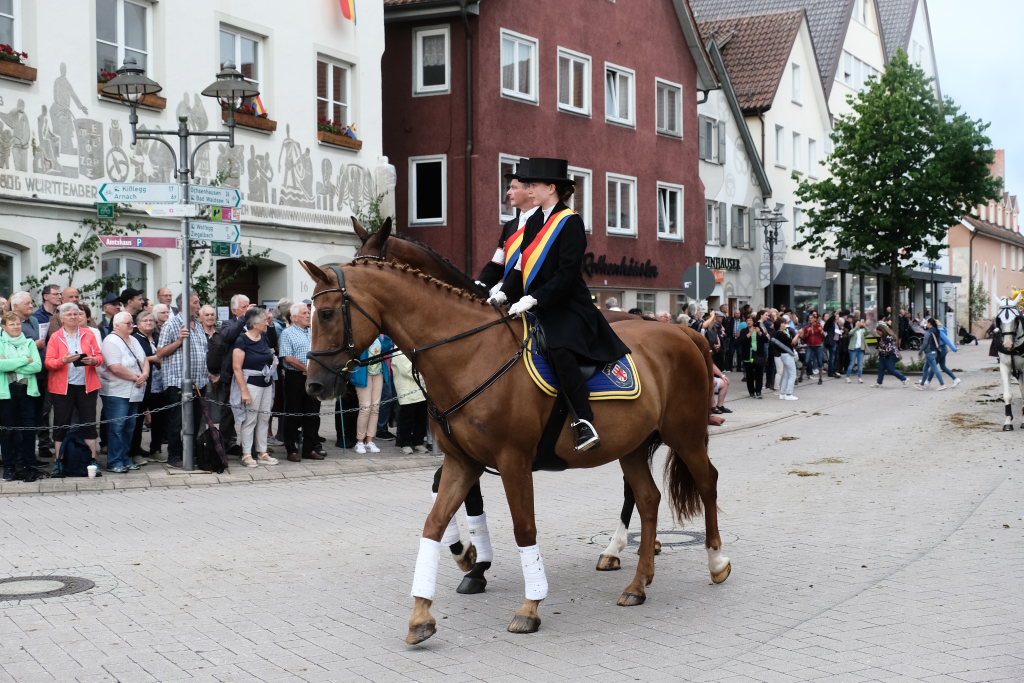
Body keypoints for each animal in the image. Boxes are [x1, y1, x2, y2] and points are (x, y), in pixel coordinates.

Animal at [301, 259, 730, 645]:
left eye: (326, 313)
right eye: (311, 314)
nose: (315, 385)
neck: (472, 354)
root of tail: (684, 333)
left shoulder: (513, 462)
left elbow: (524, 529)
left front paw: (529, 606)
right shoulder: (462, 462)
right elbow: (434, 525)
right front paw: (423, 613)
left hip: (685, 434)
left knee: (707, 482)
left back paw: (716, 562)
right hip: (634, 446)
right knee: (647, 498)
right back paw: (638, 584)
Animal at [351, 218, 717, 571]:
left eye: (368, 265)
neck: (472, 346)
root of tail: (680, 329)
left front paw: (474, 561)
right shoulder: (467, 449)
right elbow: (446, 489)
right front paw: (470, 555)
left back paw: (627, 547)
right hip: (637, 434)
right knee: (639, 489)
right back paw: (630, 547)